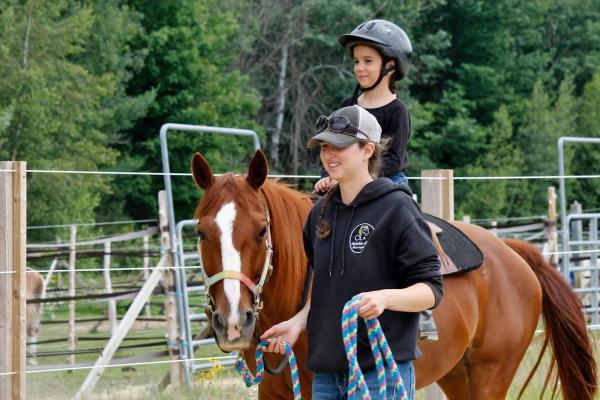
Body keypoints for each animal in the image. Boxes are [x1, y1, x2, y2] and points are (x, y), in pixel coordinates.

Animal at [191, 150, 596, 400]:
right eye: (201, 232)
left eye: (262, 231)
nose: (232, 322)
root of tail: (512, 252)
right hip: (458, 375)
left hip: (490, 376)